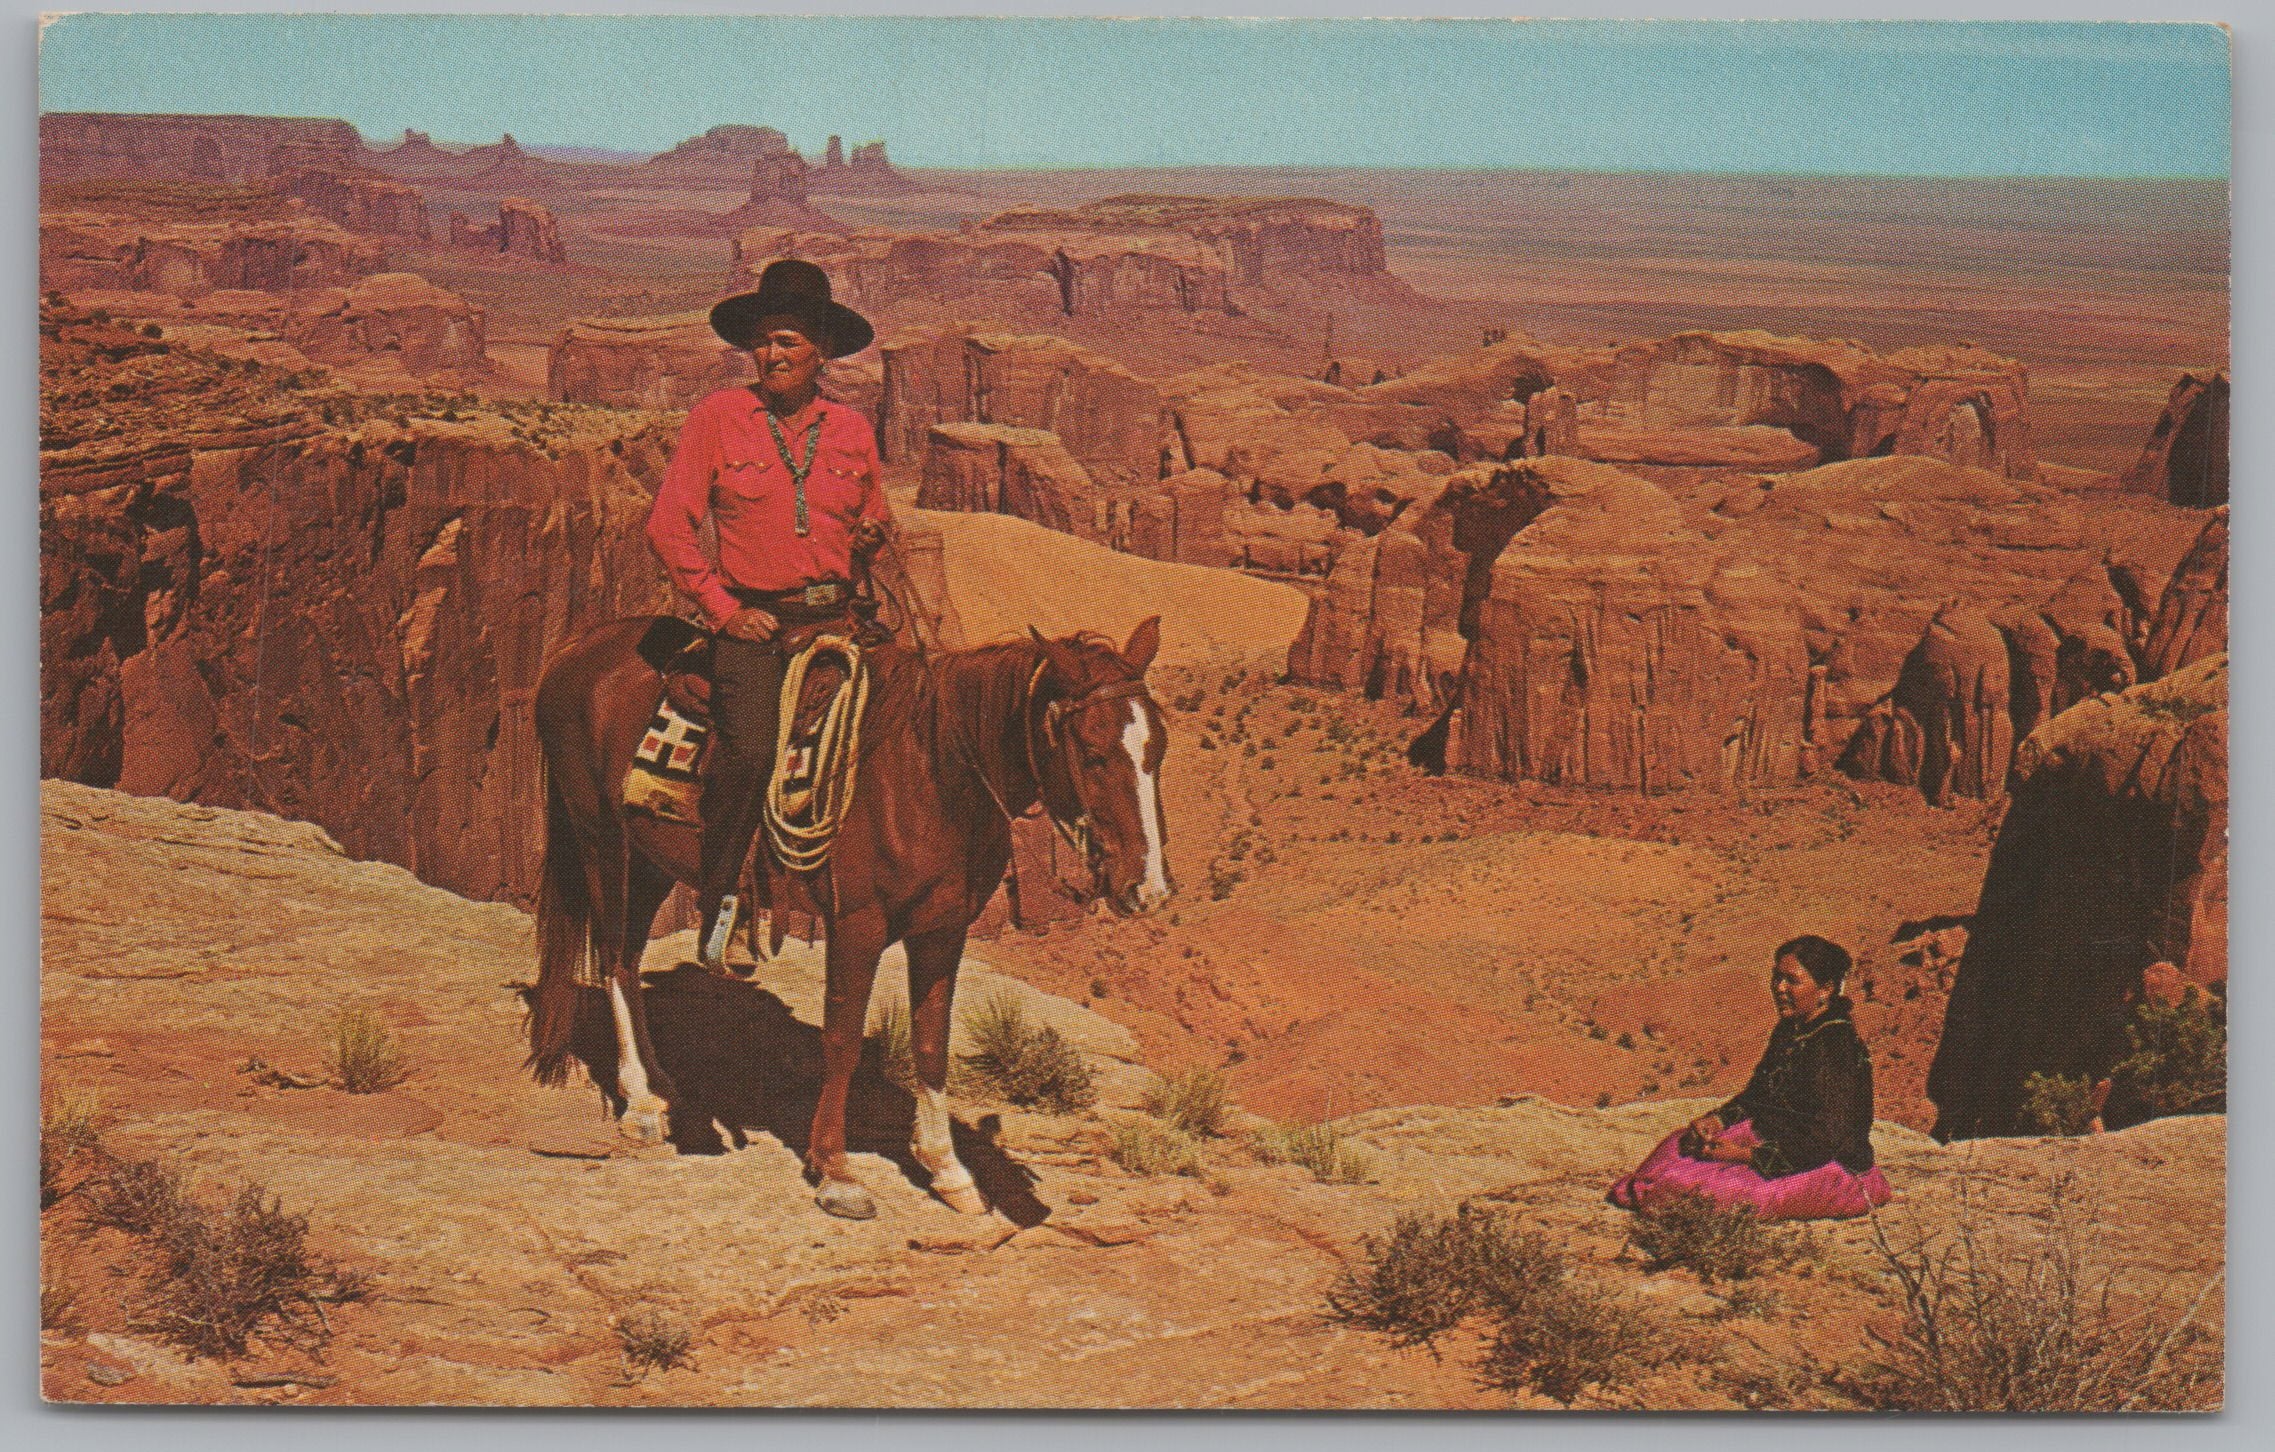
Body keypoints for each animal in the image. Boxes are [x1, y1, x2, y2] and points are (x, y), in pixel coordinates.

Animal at [525, 614, 1173, 1219]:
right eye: (1093, 754)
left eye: (1158, 750)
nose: (1148, 889)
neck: (930, 773)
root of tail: (575, 648)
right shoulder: (857, 926)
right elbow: (841, 1042)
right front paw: (835, 1171)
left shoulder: (943, 930)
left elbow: (932, 1044)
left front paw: (949, 1171)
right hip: (600, 837)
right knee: (613, 952)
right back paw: (639, 1104)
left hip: (655, 856)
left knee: (631, 954)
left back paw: (661, 1087)